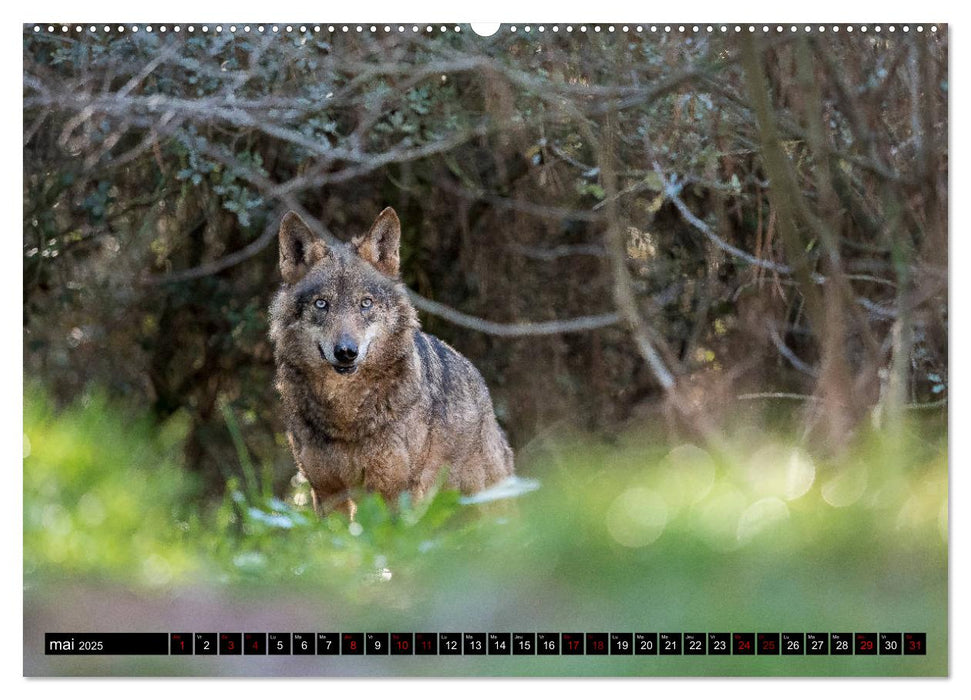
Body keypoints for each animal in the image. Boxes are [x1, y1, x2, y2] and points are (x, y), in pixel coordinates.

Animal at [270, 205, 512, 516]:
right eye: (322, 304)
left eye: (366, 303)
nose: (346, 351)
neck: (346, 415)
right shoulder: (327, 492)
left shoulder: (396, 490)